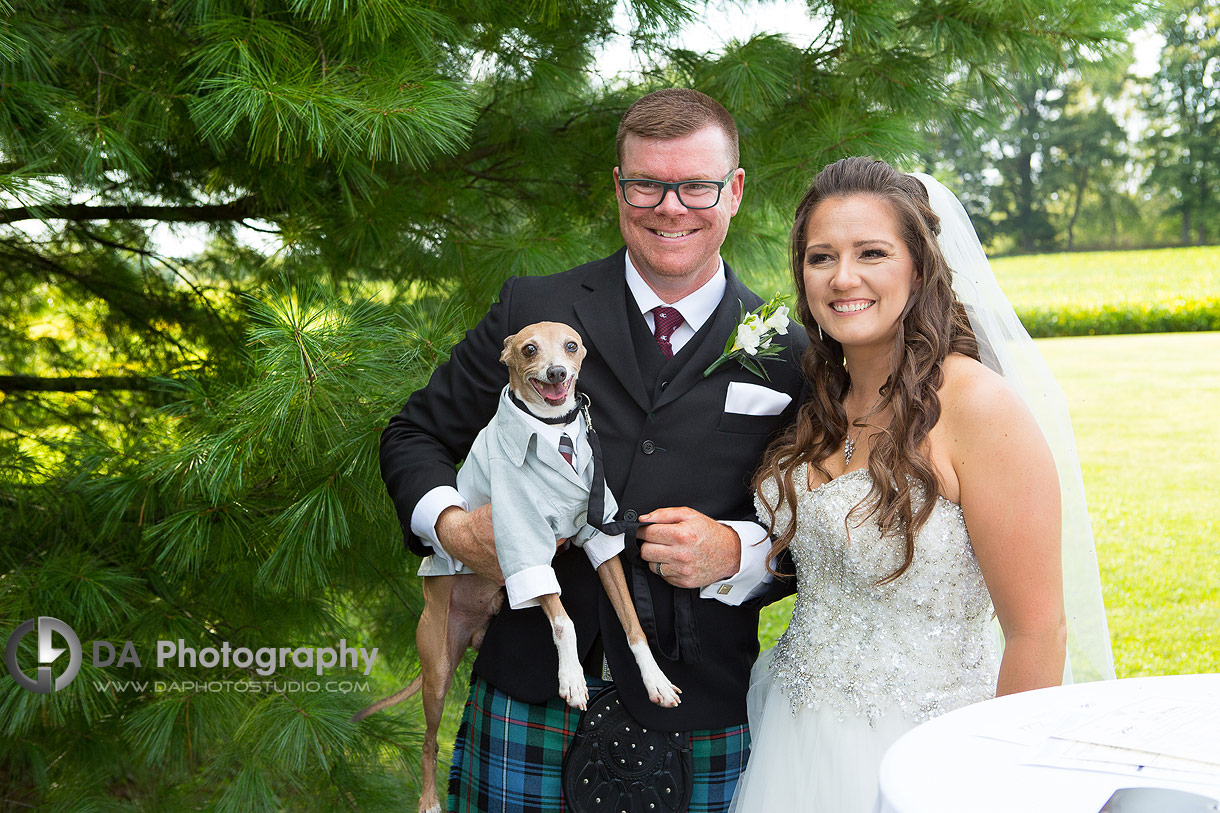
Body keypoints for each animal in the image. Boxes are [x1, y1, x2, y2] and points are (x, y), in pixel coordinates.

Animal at [356, 322, 678, 810]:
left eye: (571, 345)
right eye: (529, 349)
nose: (557, 371)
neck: (549, 429)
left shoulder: (600, 540)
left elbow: (632, 624)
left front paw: (655, 679)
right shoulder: (526, 548)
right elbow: (563, 621)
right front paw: (572, 678)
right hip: (437, 673)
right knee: (430, 742)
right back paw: (429, 799)